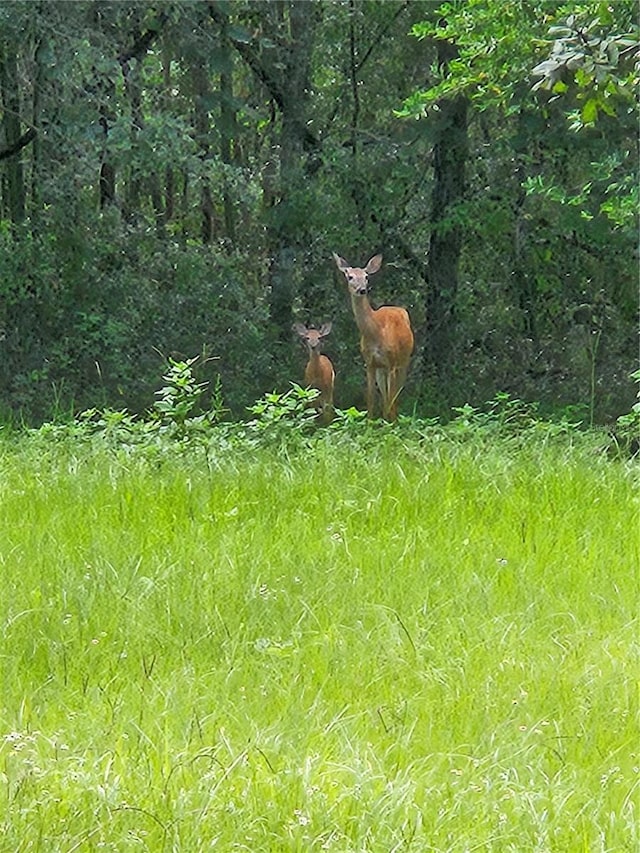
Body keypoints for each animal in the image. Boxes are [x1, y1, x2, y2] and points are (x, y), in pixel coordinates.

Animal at [332, 251, 412, 422]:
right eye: (350, 276)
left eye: (366, 276)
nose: (362, 290)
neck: (375, 332)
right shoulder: (369, 363)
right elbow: (370, 400)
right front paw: (370, 423)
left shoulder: (391, 363)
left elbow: (392, 400)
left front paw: (392, 424)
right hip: (382, 369)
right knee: (386, 398)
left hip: (403, 361)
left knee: (395, 396)